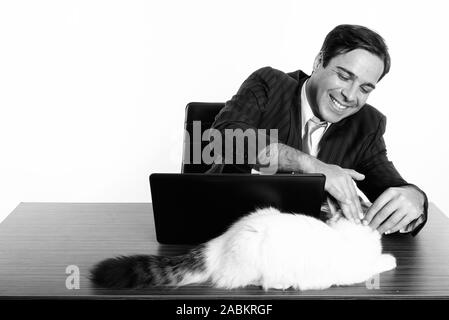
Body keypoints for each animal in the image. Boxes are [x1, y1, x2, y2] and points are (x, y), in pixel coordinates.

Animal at [91, 205, 396, 290]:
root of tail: (219, 242)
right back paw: (282, 284)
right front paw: (390, 258)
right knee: (249, 282)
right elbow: (379, 262)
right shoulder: (357, 270)